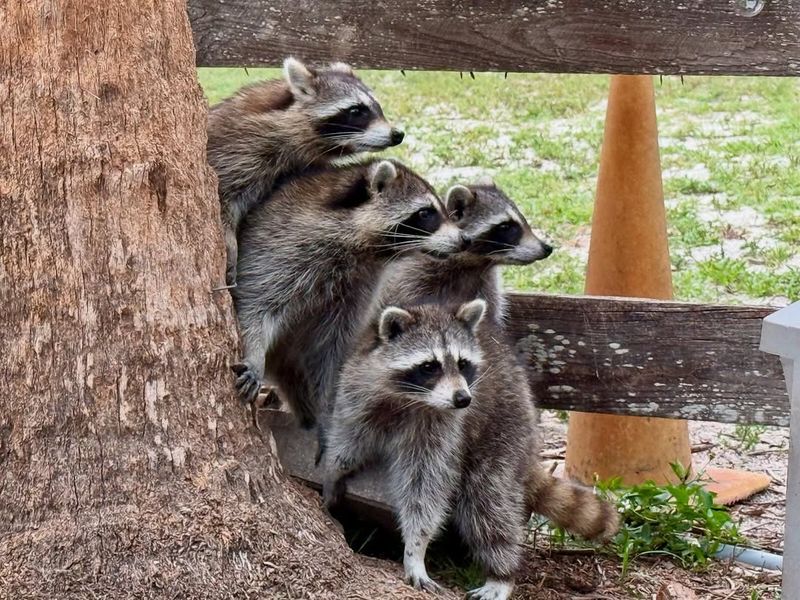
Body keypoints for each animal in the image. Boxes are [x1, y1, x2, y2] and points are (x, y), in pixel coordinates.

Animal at [208, 57, 403, 285]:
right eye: (356, 111)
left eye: (378, 107)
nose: (397, 135)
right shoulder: (238, 151)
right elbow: (223, 200)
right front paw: (229, 243)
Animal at [232, 159, 467, 431]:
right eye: (426, 213)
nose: (465, 239)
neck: (366, 251)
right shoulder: (279, 249)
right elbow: (256, 304)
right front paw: (254, 354)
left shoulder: (359, 286)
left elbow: (334, 344)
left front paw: (329, 403)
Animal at [323, 301, 619, 600]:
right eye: (429, 366)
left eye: (463, 364)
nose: (463, 399)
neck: (410, 400)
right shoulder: (358, 391)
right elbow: (348, 441)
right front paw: (333, 473)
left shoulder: (444, 428)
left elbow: (427, 488)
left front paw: (416, 548)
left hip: (505, 425)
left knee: (490, 502)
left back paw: (502, 573)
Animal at [381, 179, 552, 327]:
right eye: (505, 227)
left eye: (522, 219)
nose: (546, 248)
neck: (473, 266)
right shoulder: (410, 279)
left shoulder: (486, 286)